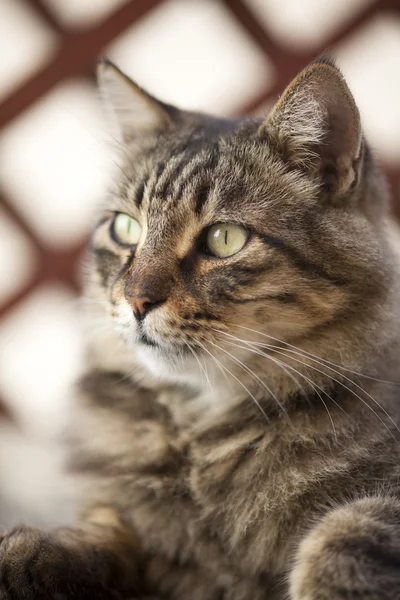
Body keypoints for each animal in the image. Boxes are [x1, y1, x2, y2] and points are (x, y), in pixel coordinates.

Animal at [0, 56, 400, 600]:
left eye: (224, 239)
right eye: (126, 228)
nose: (136, 300)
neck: (201, 436)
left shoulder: (380, 505)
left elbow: (342, 539)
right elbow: (103, 526)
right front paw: (35, 555)